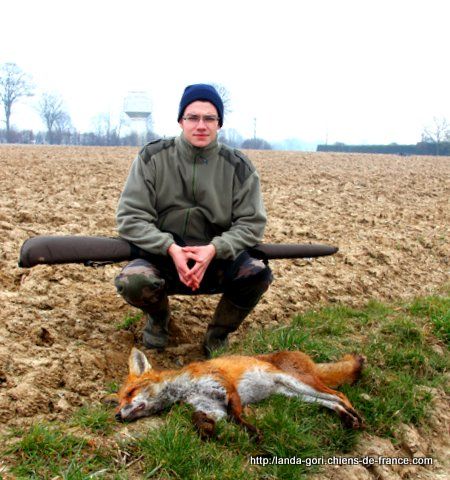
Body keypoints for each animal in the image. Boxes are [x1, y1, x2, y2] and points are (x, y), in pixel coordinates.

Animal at [116, 348, 366, 438]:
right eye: (117, 402)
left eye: (130, 393)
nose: (117, 416)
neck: (186, 388)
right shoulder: (211, 406)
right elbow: (197, 417)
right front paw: (206, 429)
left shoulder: (226, 388)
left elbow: (237, 417)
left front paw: (253, 433)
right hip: (294, 394)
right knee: (331, 402)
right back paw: (347, 418)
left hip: (299, 383)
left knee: (340, 395)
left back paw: (356, 417)